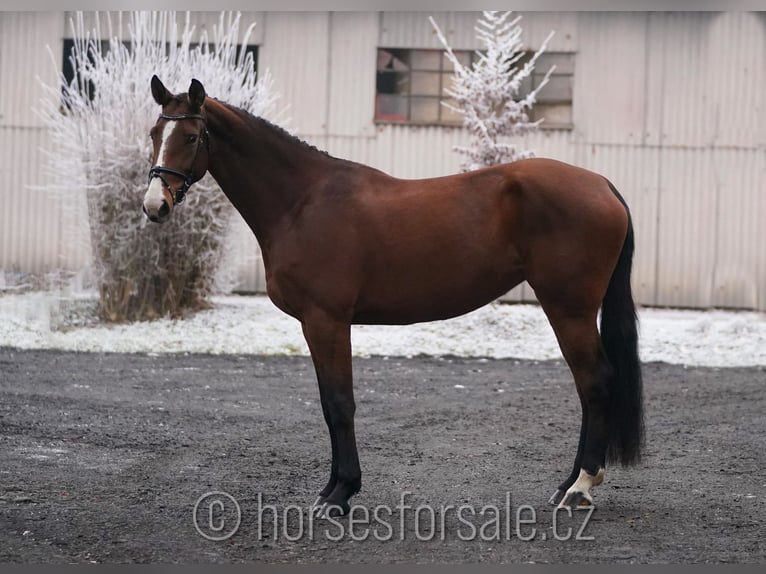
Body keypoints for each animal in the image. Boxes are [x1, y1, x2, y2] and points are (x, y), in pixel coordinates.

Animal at [142, 76, 640, 516]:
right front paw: (331, 489)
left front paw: (340, 495)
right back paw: (566, 484)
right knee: (588, 387)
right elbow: (328, 405)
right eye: (154, 134)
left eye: (190, 136)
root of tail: (602, 184)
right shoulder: (315, 324)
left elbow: (340, 404)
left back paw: (580, 486)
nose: (154, 205)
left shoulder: (326, 320)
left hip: (570, 309)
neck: (302, 202)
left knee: (595, 382)